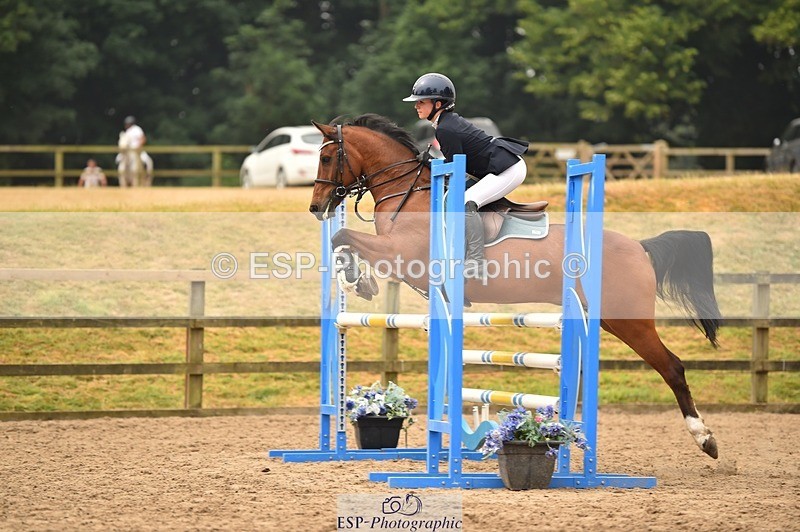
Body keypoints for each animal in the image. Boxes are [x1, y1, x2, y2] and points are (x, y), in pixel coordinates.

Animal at [308, 114, 722, 459]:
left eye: (326, 158)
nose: (317, 207)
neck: (407, 194)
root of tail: (640, 247)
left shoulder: (400, 254)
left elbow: (345, 236)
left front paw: (358, 280)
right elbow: (343, 240)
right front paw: (356, 279)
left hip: (629, 320)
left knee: (672, 367)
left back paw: (705, 439)